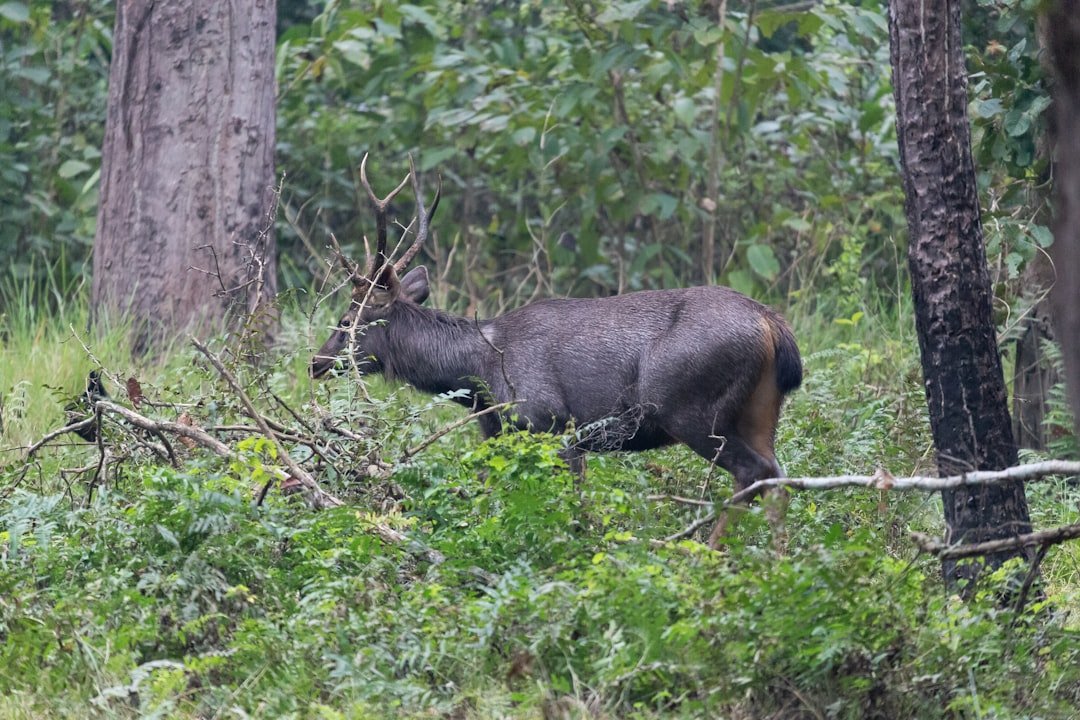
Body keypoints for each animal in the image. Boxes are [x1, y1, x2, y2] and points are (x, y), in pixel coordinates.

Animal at [310, 155, 803, 547]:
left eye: (347, 321)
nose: (316, 361)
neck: (479, 373)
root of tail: (775, 329)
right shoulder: (505, 433)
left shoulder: (552, 424)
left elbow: (576, 509)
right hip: (760, 409)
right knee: (777, 476)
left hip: (690, 408)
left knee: (753, 472)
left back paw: (710, 555)